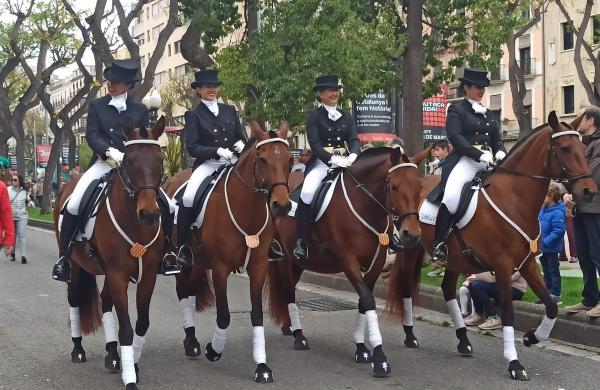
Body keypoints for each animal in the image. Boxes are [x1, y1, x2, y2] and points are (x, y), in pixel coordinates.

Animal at [54, 117, 168, 388]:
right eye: (129, 160)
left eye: (159, 159)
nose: (149, 214)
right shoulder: (118, 275)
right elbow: (126, 327)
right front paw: (130, 377)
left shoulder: (148, 275)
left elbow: (141, 323)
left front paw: (132, 364)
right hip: (76, 267)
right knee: (74, 299)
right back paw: (78, 350)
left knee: (105, 302)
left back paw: (113, 355)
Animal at [161, 122, 292, 384]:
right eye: (262, 159)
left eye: (290, 160)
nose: (282, 206)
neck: (246, 211)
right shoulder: (221, 269)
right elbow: (223, 315)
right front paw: (214, 350)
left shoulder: (258, 267)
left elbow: (256, 315)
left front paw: (262, 366)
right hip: (187, 262)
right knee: (183, 292)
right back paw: (191, 342)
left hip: (200, 262)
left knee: (191, 290)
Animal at [268, 146, 422, 378]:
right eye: (394, 186)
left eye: (420, 186)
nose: (411, 235)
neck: (364, 204)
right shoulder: (348, 261)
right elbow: (368, 300)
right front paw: (379, 358)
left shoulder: (376, 263)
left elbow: (363, 302)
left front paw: (361, 349)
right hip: (285, 259)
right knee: (288, 292)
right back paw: (299, 337)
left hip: (298, 263)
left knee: (289, 290)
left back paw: (290, 328)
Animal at [386, 111, 596, 382]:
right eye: (565, 148)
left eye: (582, 147)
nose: (589, 192)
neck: (513, 198)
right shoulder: (503, 266)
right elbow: (508, 312)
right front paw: (515, 363)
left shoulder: (527, 264)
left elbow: (551, 306)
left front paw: (532, 337)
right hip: (413, 248)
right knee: (407, 288)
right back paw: (411, 335)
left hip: (454, 258)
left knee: (447, 289)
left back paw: (463, 341)